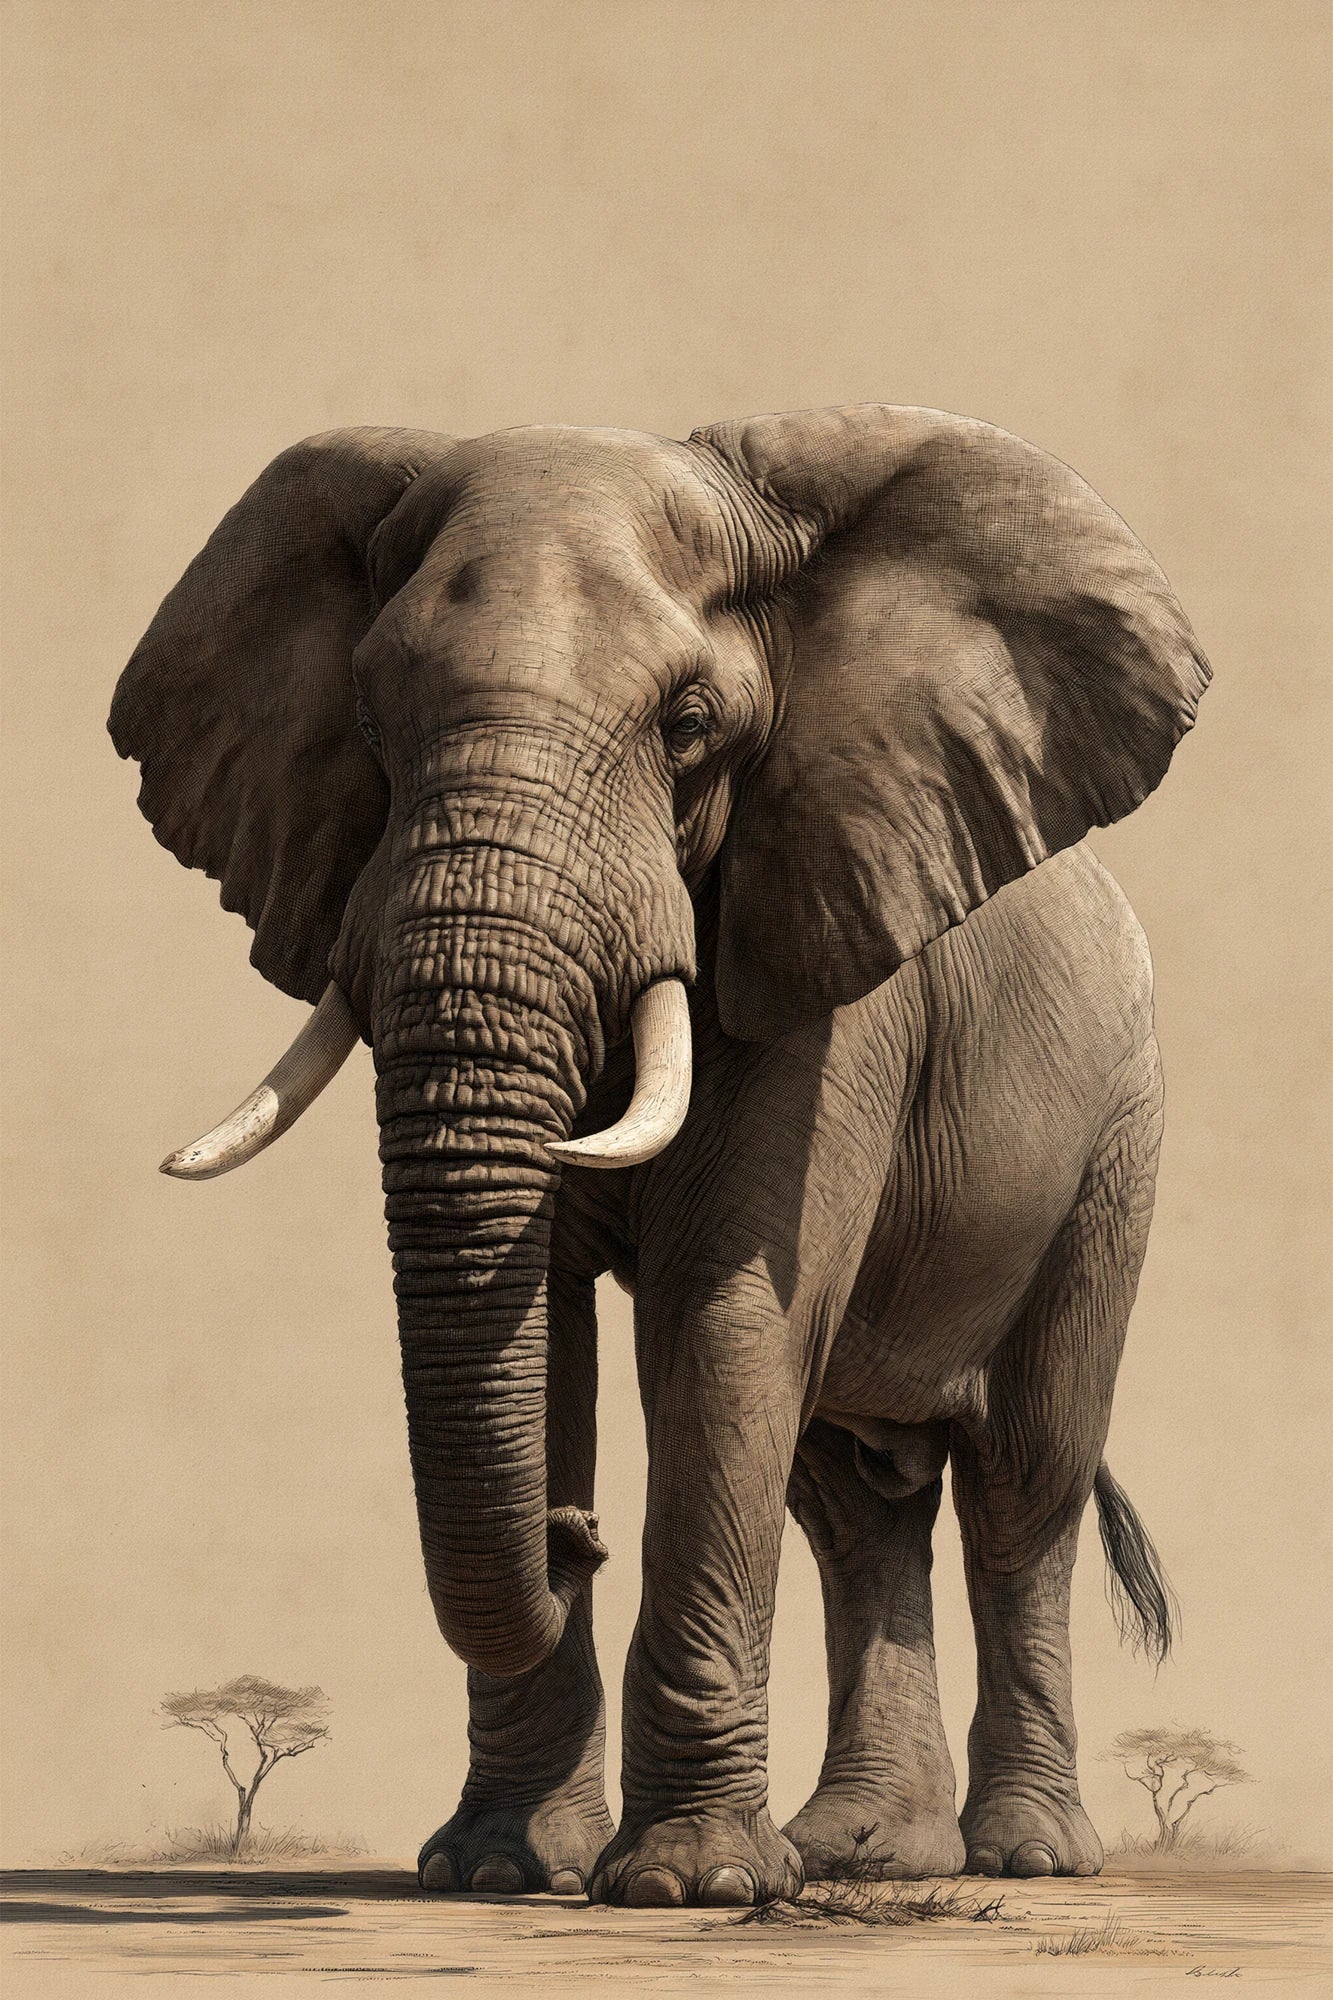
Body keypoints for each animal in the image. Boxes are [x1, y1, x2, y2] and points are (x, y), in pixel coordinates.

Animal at [110, 404, 1208, 1908]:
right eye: (368, 722)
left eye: (690, 727)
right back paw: (857, 1853)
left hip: (1117, 1137)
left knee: (1023, 1477)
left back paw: (1025, 1857)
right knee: (853, 1501)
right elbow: (551, 1327)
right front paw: (499, 1872)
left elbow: (720, 1319)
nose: (574, 1533)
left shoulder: (823, 961)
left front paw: (690, 1887)